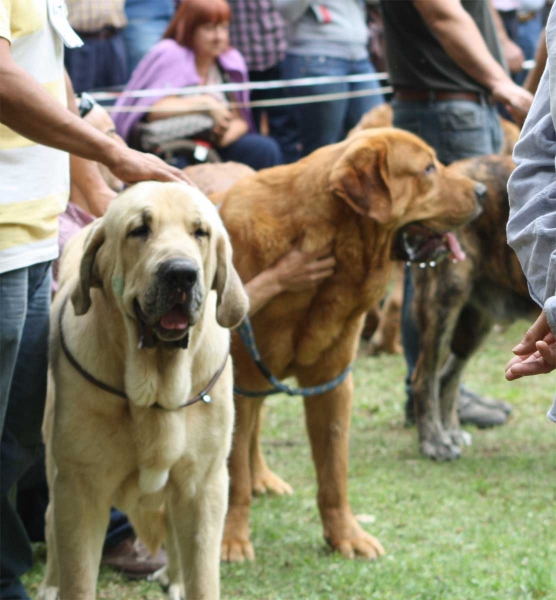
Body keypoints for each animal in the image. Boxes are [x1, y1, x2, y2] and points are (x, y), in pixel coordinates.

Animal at [39, 183, 248, 600]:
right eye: (139, 230)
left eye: (200, 232)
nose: (181, 274)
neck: (155, 389)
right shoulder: (80, 489)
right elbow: (78, 575)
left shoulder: (204, 487)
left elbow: (203, 574)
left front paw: (186, 579)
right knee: (51, 524)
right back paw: (51, 584)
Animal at [215, 129, 484, 560]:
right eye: (428, 169)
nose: (482, 191)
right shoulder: (238, 384)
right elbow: (233, 474)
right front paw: (233, 540)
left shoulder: (334, 385)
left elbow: (333, 472)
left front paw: (346, 536)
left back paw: (264, 479)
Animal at [410, 155, 540, 460]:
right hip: (443, 302)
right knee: (424, 379)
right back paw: (434, 442)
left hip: (475, 322)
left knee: (446, 378)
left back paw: (451, 432)